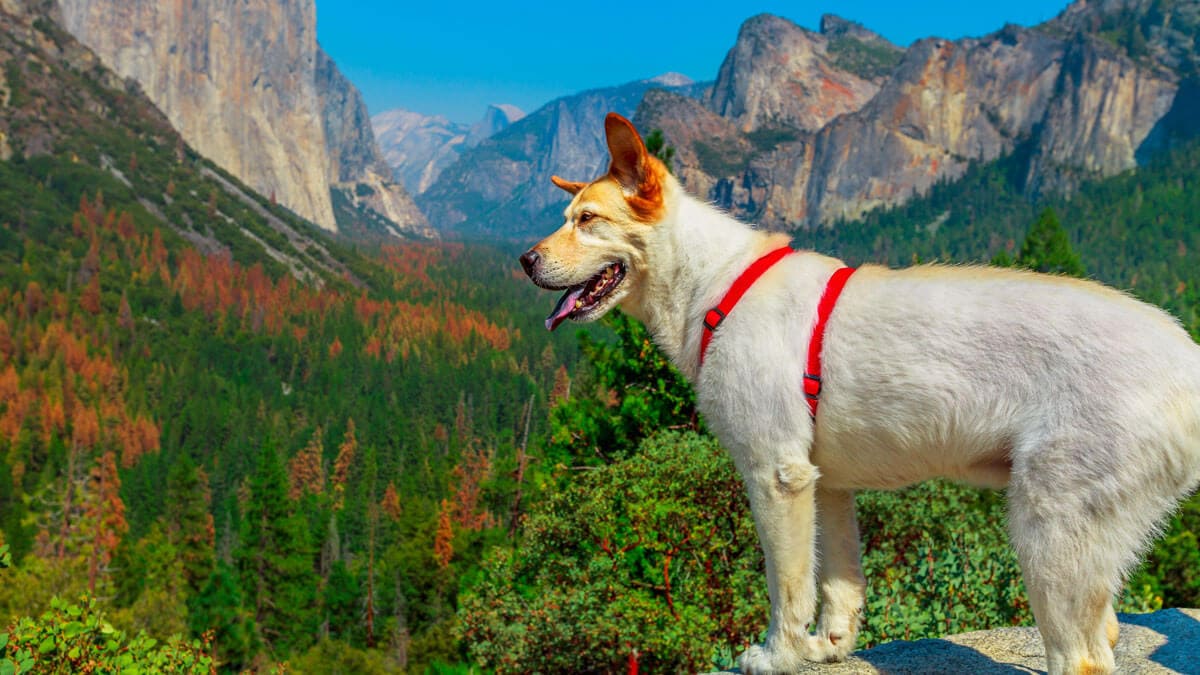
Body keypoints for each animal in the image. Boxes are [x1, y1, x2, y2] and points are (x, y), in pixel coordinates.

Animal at [516, 112, 1200, 667]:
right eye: (566, 219)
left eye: (588, 220)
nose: (523, 261)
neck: (716, 283)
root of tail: (1185, 355)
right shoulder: (826, 484)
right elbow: (839, 582)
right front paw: (828, 647)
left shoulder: (776, 476)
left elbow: (786, 586)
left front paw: (779, 656)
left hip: (1048, 531)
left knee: (1082, 657)